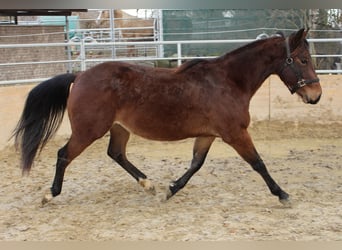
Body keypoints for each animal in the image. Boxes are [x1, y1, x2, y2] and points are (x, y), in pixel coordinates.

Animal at [12, 28, 320, 206]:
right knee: (64, 155)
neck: (228, 82)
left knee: (116, 154)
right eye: (303, 60)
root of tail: (80, 75)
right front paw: (282, 194)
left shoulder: (208, 135)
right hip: (89, 131)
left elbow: (196, 164)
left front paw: (170, 189)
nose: (315, 95)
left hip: (119, 128)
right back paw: (49, 193)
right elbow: (258, 163)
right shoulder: (235, 133)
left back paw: (148, 184)